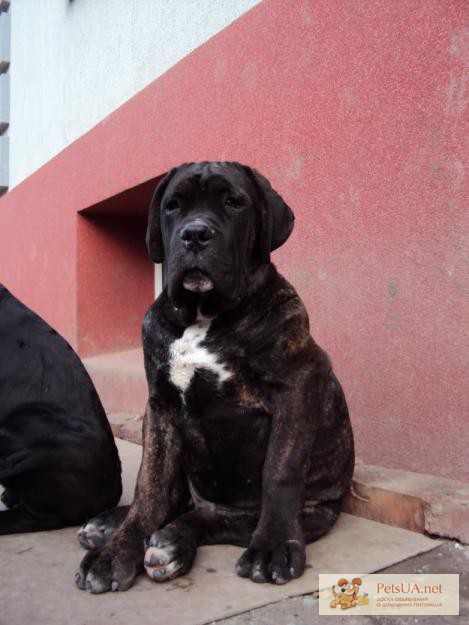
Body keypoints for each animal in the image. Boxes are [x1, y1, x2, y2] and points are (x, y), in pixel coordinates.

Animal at [75, 160, 352, 588]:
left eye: (233, 203)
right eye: (172, 206)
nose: (195, 233)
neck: (202, 316)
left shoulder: (299, 382)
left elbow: (281, 470)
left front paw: (273, 547)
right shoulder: (160, 406)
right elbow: (150, 486)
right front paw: (117, 552)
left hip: (313, 512)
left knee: (215, 518)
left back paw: (172, 542)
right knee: (174, 499)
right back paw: (111, 525)